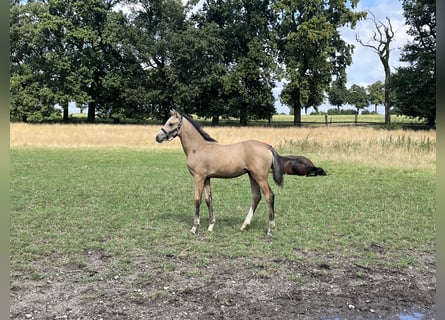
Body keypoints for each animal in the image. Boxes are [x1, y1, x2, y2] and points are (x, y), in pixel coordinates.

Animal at [154, 109, 282, 235]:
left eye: (171, 123)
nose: (157, 137)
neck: (198, 148)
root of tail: (267, 147)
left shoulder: (198, 177)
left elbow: (197, 199)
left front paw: (194, 228)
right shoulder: (206, 178)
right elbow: (208, 199)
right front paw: (211, 225)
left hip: (260, 177)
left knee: (269, 196)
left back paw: (270, 229)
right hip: (252, 176)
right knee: (256, 197)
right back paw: (244, 226)